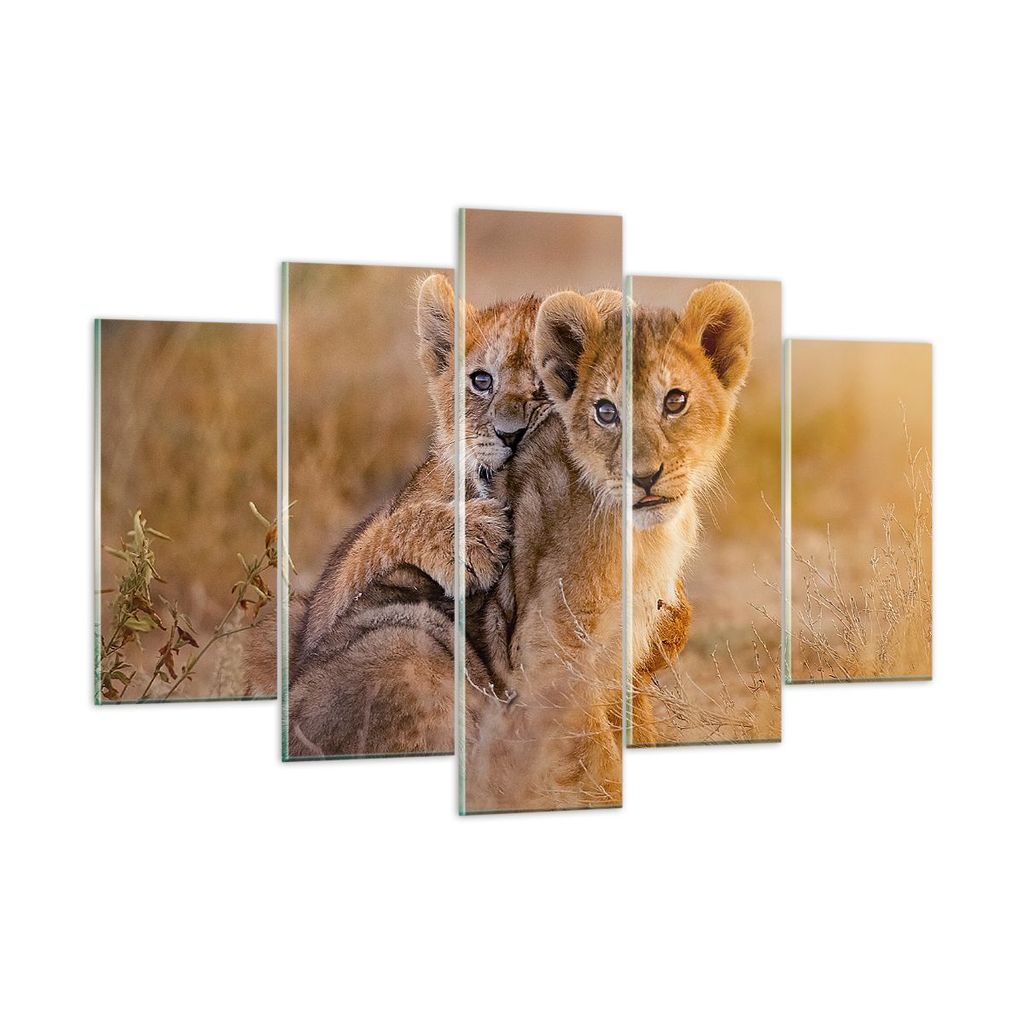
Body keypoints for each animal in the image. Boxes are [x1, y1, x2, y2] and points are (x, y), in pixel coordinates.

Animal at [464, 282, 752, 810]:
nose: (645, 477)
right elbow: (592, 749)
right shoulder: (546, 649)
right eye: (606, 411)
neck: (642, 538)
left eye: (675, 401)